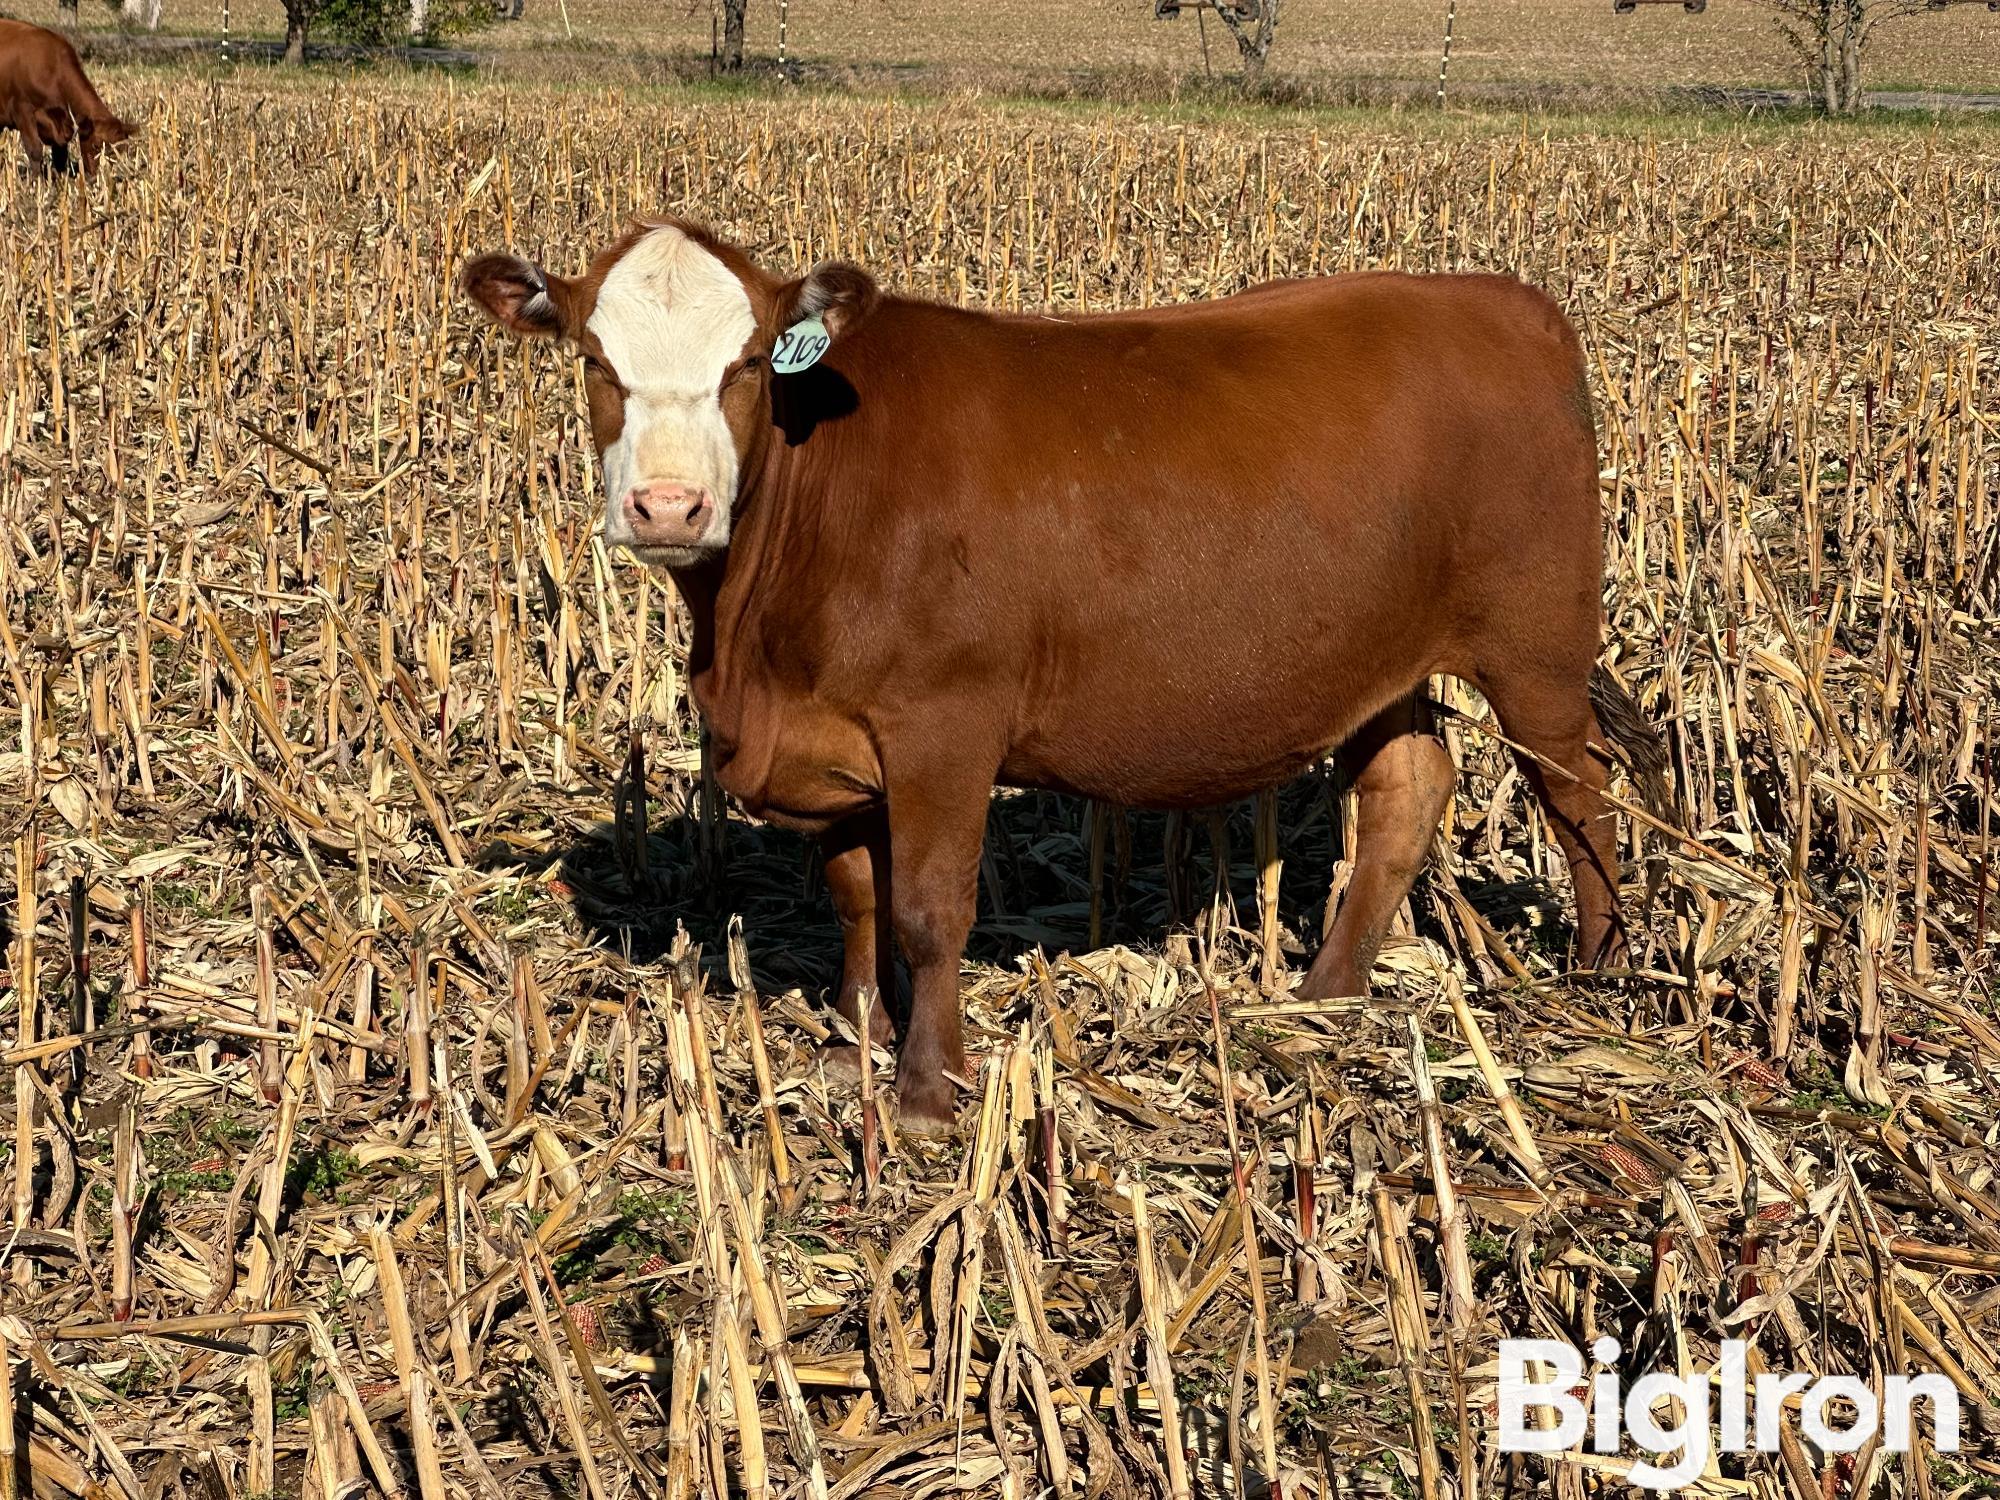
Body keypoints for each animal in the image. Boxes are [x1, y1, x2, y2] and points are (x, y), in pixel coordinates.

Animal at [0, 19, 133, 174]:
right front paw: (35, 180)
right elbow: (35, 151)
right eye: (96, 145)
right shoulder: (23, 111)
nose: (99, 176)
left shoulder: (63, 125)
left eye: (121, 151)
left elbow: (60, 157)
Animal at [460, 217, 1664, 1136]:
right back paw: (1325, 997)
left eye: (749, 364)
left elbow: (928, 907)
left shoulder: (944, 722)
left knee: (1578, 794)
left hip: (1536, 646)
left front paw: (928, 1091)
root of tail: (1502, 302)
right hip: (1380, 657)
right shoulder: (834, 738)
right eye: (595, 360)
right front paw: (855, 1036)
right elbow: (857, 893)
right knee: (1408, 791)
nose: (669, 508)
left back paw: (1600, 969)